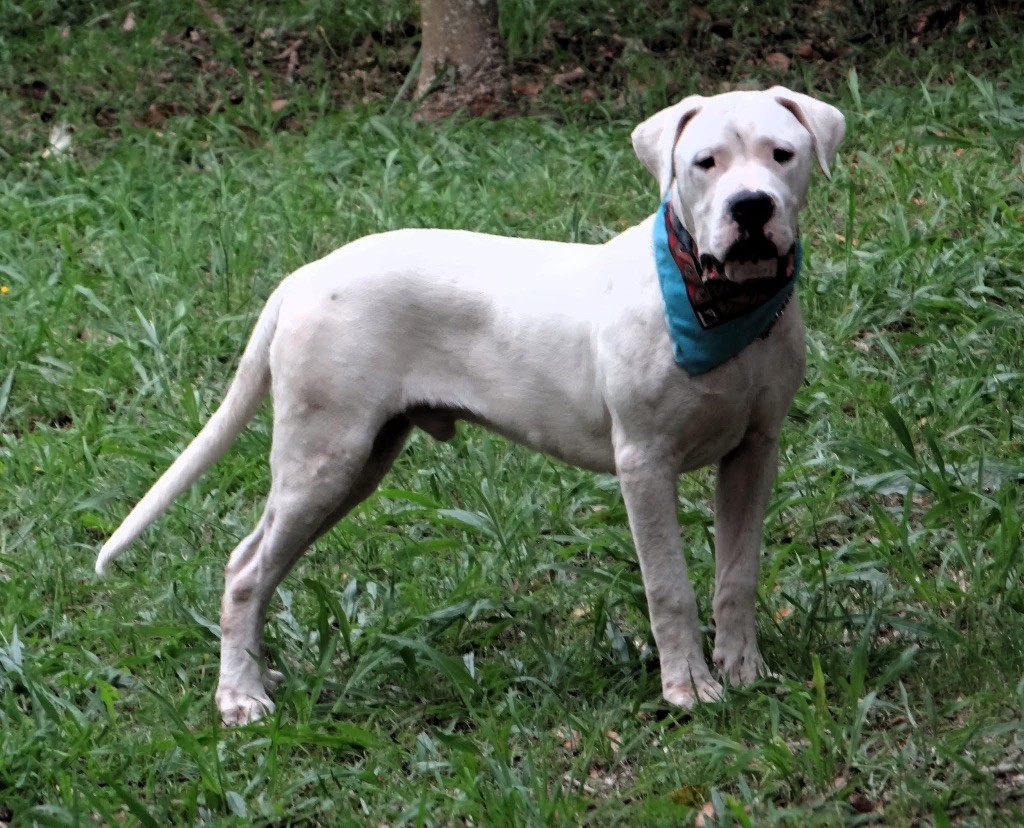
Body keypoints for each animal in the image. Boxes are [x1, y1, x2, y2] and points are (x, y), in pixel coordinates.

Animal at [97, 89, 847, 724]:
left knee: (262, 563)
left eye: (782, 154)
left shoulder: (754, 452)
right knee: (245, 570)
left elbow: (736, 574)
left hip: (354, 463)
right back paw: (240, 697)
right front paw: (688, 687)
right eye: (704, 163)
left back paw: (258, 674)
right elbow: (670, 586)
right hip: (324, 457)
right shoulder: (645, 463)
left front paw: (743, 671)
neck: (721, 305)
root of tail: (305, 275)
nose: (751, 207)